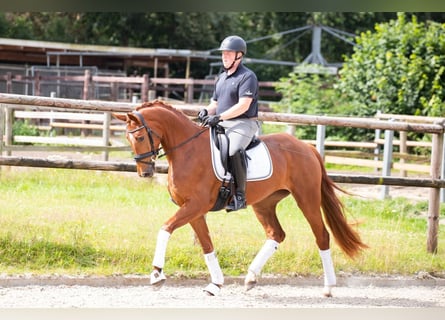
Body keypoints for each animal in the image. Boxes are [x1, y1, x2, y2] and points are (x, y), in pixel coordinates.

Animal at [112, 100, 366, 298]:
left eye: (140, 136)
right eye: (127, 137)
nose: (145, 173)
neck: (188, 151)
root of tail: (307, 147)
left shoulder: (195, 205)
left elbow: (165, 229)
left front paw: (156, 274)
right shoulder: (193, 210)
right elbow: (206, 245)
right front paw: (215, 284)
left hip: (307, 198)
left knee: (321, 235)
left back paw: (328, 288)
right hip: (264, 204)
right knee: (276, 234)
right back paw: (251, 278)